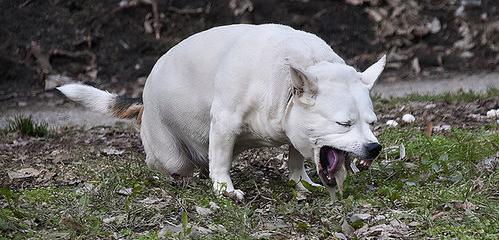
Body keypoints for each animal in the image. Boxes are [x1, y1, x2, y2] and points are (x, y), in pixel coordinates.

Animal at [59, 23, 386, 201]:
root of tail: (144, 102)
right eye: (343, 123)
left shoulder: (294, 128)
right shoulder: (225, 124)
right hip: (171, 154)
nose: (374, 148)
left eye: (372, 123)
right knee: (170, 163)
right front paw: (224, 190)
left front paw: (299, 181)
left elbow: (295, 157)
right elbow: (220, 162)